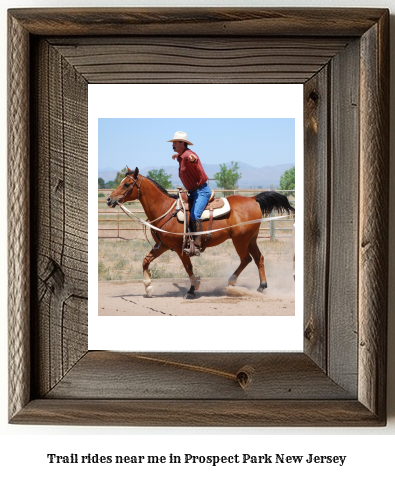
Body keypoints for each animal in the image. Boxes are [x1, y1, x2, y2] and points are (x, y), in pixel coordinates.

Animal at [106, 166, 296, 296]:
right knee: (258, 258)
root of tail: (253, 199)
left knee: (246, 259)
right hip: (251, 239)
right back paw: (261, 286)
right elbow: (145, 261)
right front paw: (148, 286)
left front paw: (192, 288)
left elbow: (188, 267)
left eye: (127, 184)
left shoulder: (180, 248)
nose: (109, 199)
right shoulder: (163, 245)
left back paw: (232, 282)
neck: (165, 209)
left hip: (240, 240)